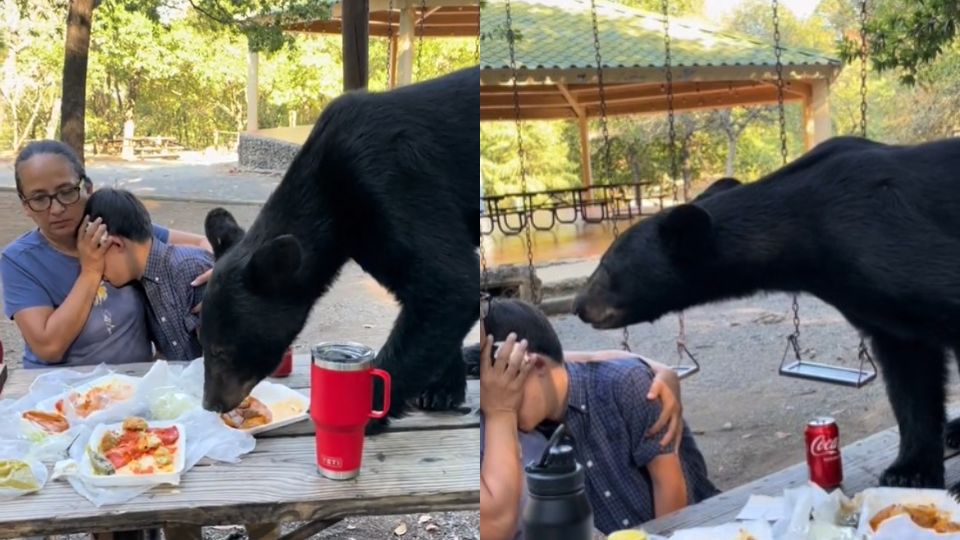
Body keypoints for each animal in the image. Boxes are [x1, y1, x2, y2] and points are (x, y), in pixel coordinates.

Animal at [202, 66, 480, 426]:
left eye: (221, 350)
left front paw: (367, 411)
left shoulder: (391, 179)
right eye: (202, 343)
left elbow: (449, 282)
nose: (211, 403)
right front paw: (442, 389)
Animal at [572, 136, 960, 494]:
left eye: (605, 267)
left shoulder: (893, 238)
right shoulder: (876, 303)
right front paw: (908, 470)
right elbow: (909, 371)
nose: (578, 304)